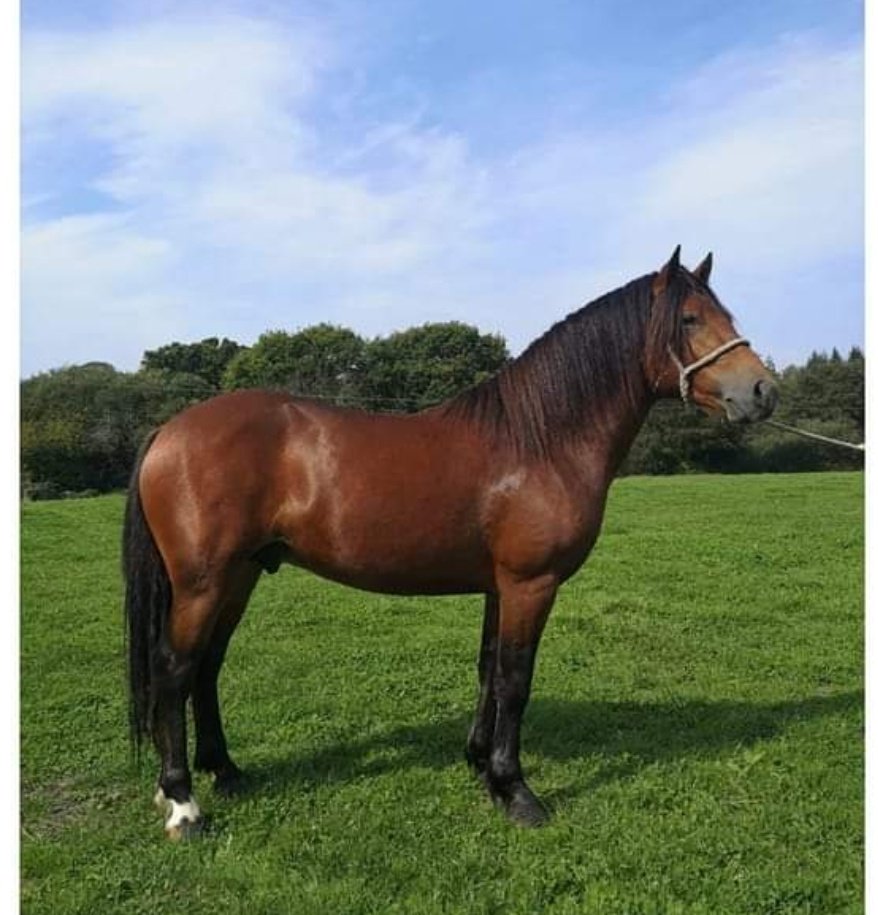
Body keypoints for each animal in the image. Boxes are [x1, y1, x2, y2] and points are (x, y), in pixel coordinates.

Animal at [123, 246, 778, 839]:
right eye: (689, 319)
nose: (762, 391)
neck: (540, 440)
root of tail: (170, 430)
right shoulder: (530, 584)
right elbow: (515, 679)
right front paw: (517, 792)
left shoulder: (499, 586)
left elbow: (488, 669)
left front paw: (481, 767)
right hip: (205, 582)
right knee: (175, 668)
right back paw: (182, 804)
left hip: (241, 575)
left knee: (207, 666)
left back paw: (225, 772)